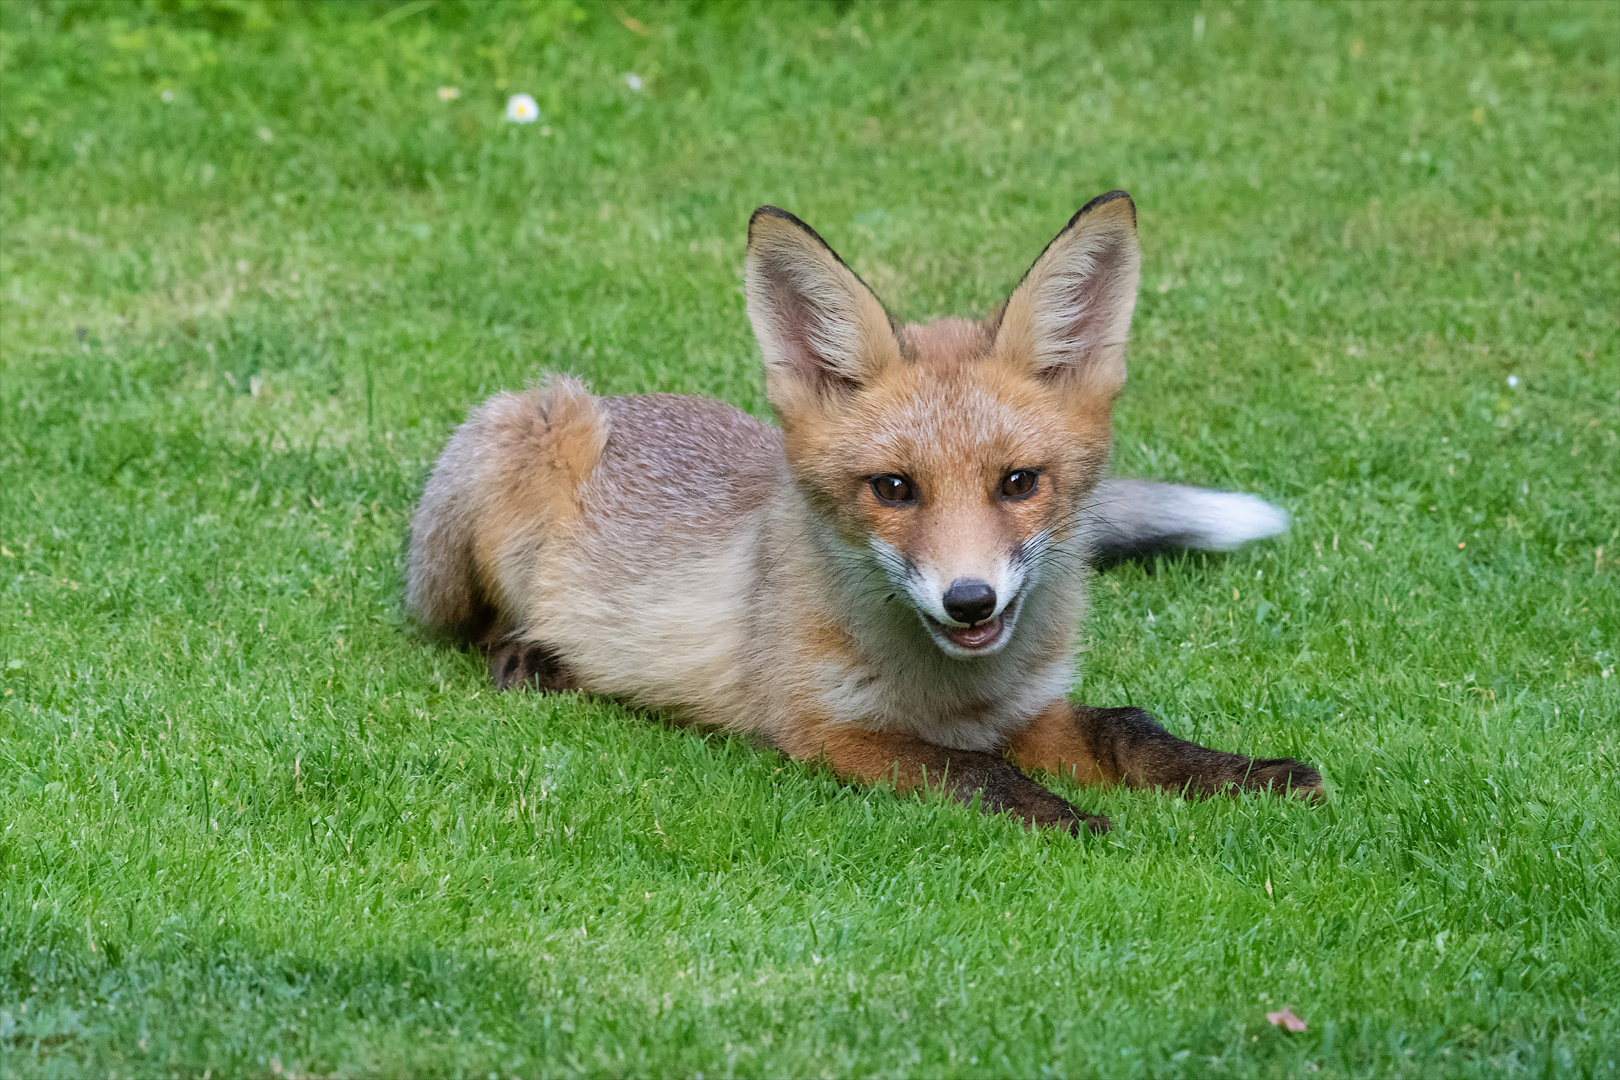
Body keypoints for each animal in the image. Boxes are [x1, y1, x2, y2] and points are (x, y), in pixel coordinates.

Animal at [401, 191, 1315, 835]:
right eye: (895, 488)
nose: (970, 601)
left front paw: (1244, 775)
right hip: (534, 442)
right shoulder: (824, 732)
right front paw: (1066, 820)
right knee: (469, 629)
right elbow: (973, 772)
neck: (952, 695)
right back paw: (536, 658)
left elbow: (1130, 729)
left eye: (1018, 483)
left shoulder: (1028, 713)